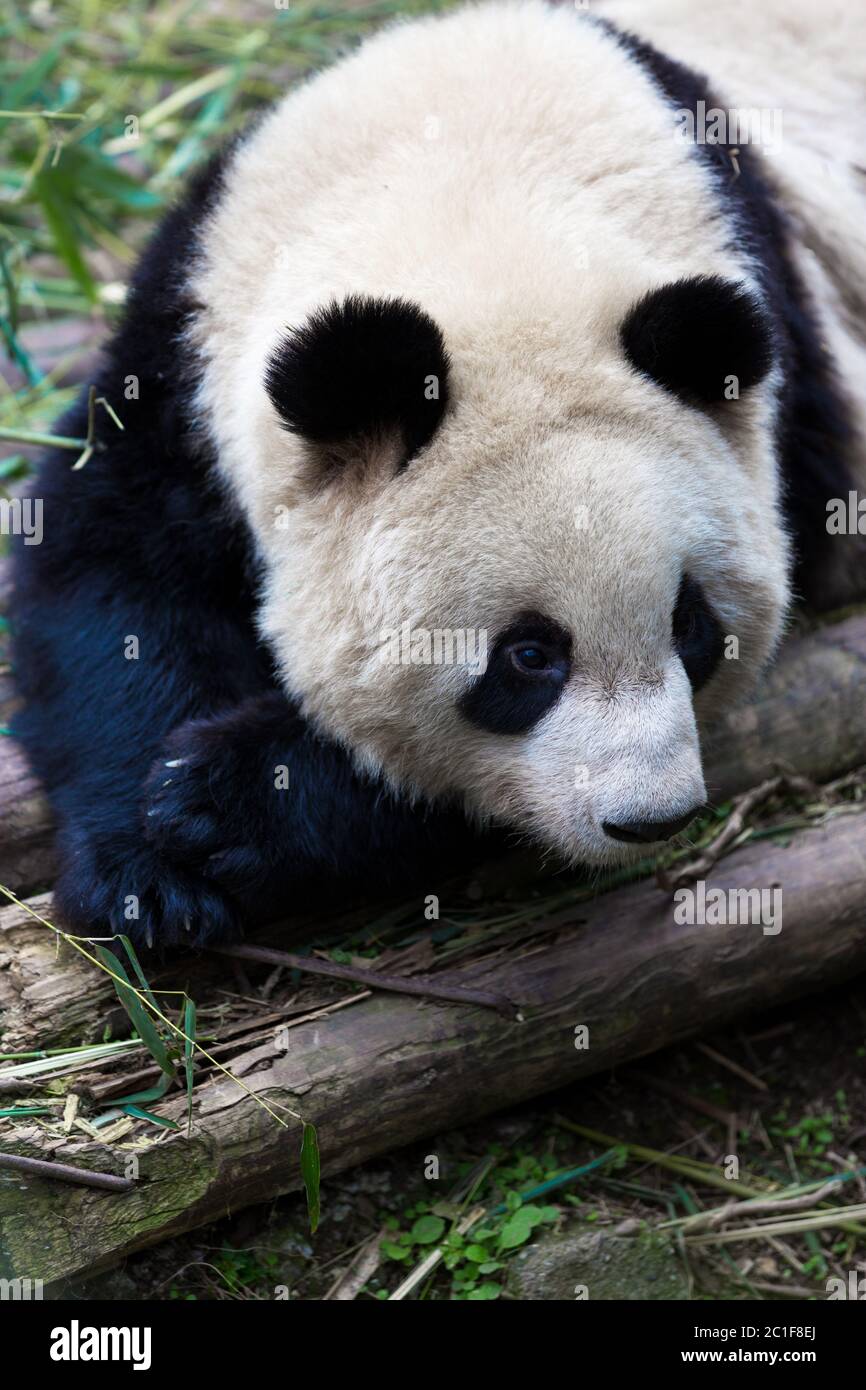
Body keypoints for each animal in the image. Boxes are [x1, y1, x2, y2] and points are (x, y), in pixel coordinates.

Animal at [10, 0, 866, 947]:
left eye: (691, 627)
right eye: (529, 657)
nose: (649, 818)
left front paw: (227, 801)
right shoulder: (185, 346)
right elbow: (104, 571)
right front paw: (147, 876)